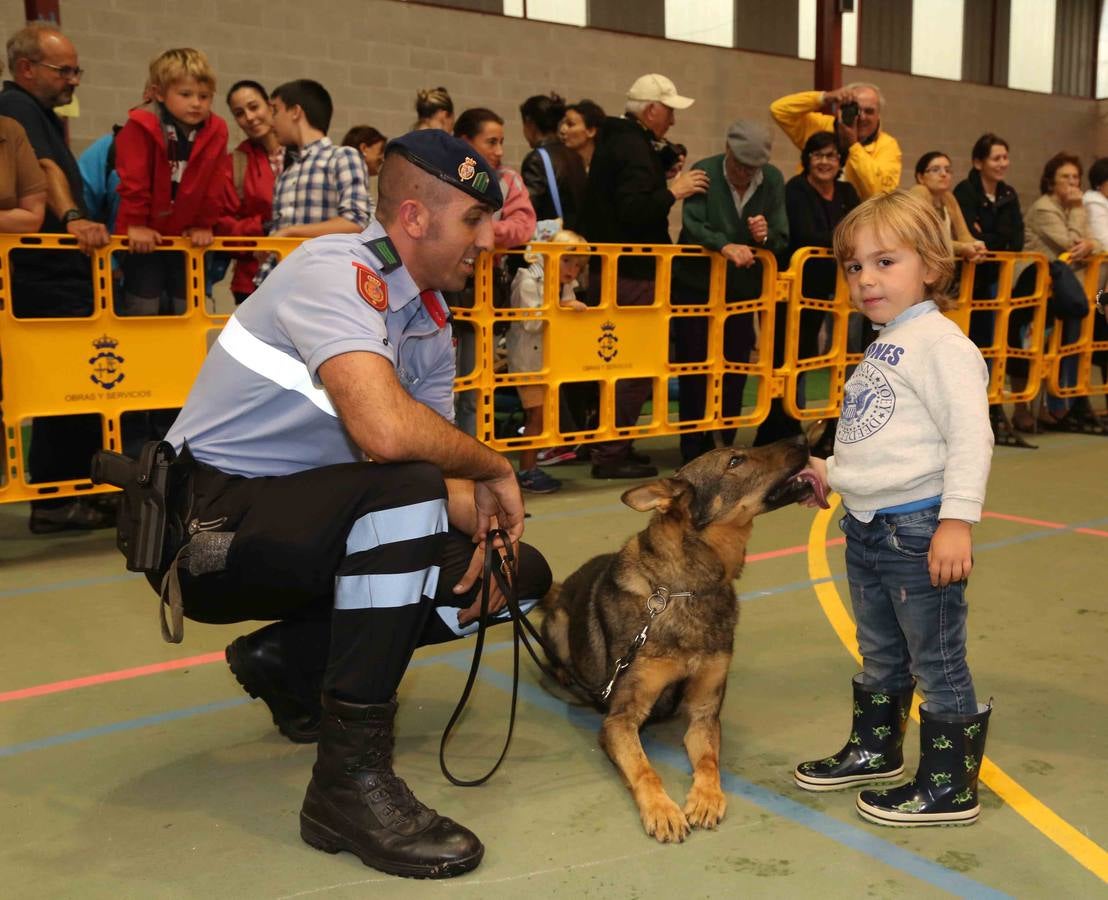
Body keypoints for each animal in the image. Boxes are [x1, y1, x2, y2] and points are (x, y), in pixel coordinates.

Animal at [536, 436, 824, 842]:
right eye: (735, 460)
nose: (803, 439)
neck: (688, 589)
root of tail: (562, 587)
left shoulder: (704, 712)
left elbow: (708, 761)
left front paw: (706, 798)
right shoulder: (620, 720)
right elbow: (644, 769)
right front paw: (662, 810)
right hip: (560, 626)